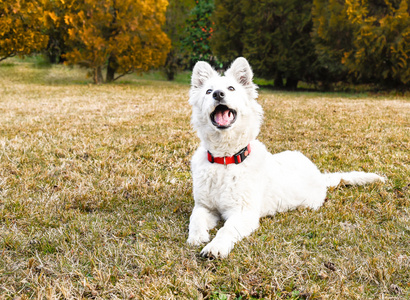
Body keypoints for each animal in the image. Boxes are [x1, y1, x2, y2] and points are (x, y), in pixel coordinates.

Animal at [186, 58, 384, 258]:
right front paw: (197, 237)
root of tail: (319, 175)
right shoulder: (204, 207)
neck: (225, 159)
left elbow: (226, 229)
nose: (218, 94)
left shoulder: (244, 213)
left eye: (231, 88)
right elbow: (195, 219)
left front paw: (215, 247)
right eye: (208, 91)